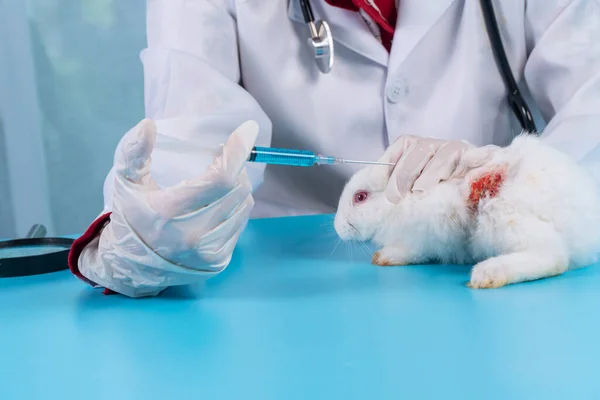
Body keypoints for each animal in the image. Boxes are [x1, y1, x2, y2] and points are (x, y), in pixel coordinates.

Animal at [336, 134, 600, 288]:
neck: (397, 203)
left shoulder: (424, 233)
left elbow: (413, 250)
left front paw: (388, 256)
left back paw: (487, 274)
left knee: (554, 257)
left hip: (501, 218)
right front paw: (382, 257)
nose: (338, 227)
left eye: (360, 197)